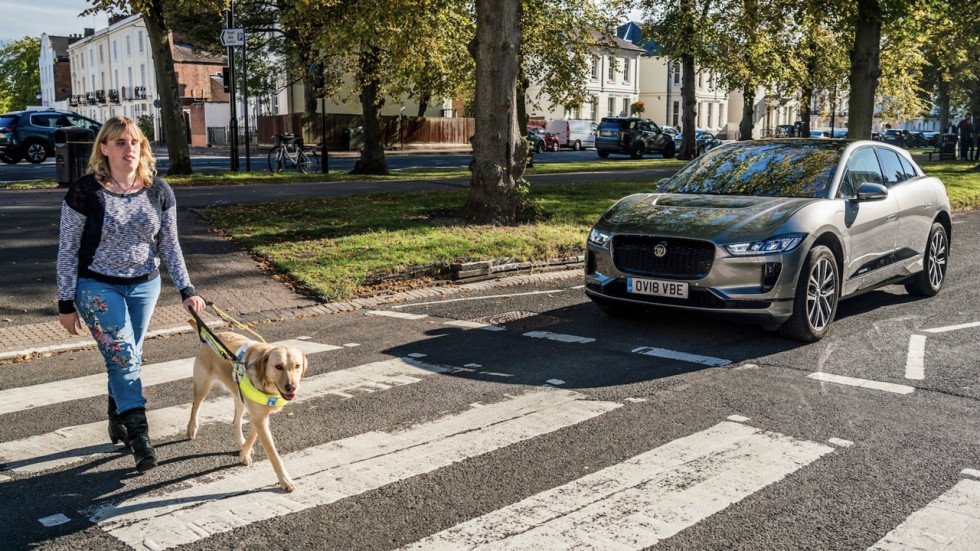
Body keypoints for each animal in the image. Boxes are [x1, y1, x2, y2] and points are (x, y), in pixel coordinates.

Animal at [184, 320, 306, 492]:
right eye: (278, 366)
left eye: (297, 366)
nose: (291, 387)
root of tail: (213, 335)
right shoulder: (259, 420)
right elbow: (273, 454)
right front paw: (284, 480)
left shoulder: (259, 417)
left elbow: (251, 438)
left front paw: (243, 453)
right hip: (203, 386)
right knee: (195, 406)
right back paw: (192, 428)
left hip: (239, 397)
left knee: (235, 422)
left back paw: (240, 443)